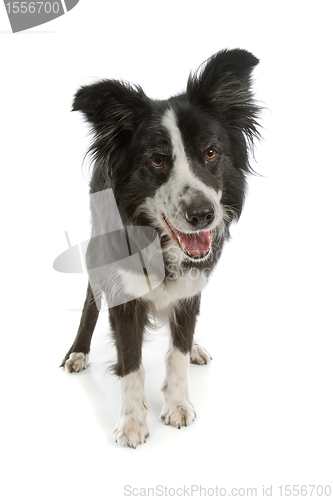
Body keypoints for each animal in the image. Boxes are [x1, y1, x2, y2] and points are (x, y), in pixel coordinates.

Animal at [61, 48, 260, 448]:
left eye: (211, 152)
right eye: (156, 160)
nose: (203, 214)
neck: (159, 242)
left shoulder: (191, 287)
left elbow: (177, 351)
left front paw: (179, 403)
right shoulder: (123, 291)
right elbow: (131, 363)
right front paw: (132, 422)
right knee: (90, 299)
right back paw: (78, 351)